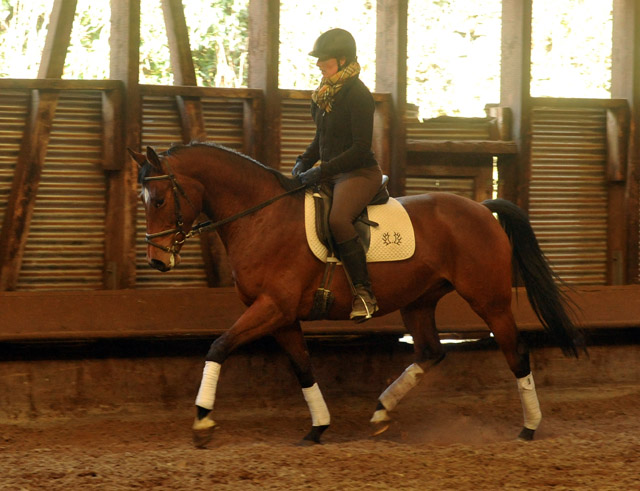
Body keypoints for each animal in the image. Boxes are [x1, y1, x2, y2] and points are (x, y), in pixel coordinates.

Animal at [129, 143, 580, 450]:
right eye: (143, 200)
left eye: (160, 199)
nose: (157, 261)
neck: (261, 216)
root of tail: (482, 209)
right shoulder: (283, 316)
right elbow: (303, 368)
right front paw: (318, 427)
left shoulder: (271, 308)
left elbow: (219, 346)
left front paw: (202, 422)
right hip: (418, 301)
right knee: (430, 352)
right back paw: (382, 410)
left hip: (489, 300)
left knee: (516, 353)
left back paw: (529, 427)